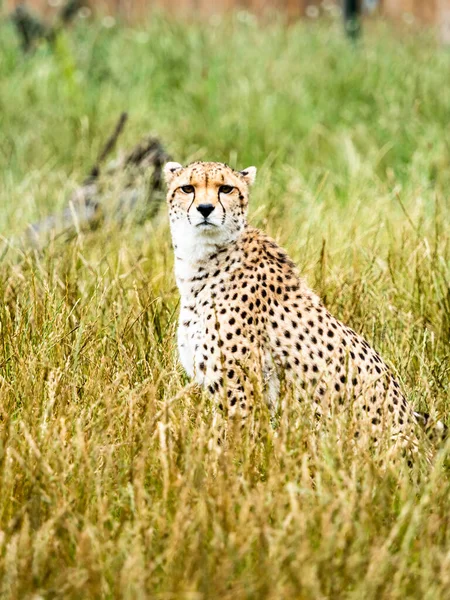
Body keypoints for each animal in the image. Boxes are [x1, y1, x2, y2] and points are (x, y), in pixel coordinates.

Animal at [164, 162, 442, 452]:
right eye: (187, 188)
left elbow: (228, 446)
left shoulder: (240, 391)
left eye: (226, 188)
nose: (205, 208)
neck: (202, 259)